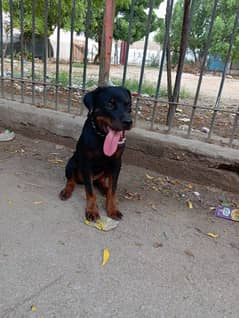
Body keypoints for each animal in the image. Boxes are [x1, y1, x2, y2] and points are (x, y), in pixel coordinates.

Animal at [58, 85, 132, 222]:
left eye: (128, 105)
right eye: (110, 104)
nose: (128, 122)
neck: (102, 137)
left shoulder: (117, 164)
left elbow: (113, 190)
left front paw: (112, 209)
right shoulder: (87, 164)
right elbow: (90, 191)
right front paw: (92, 210)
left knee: (100, 181)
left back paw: (104, 188)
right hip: (71, 163)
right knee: (72, 179)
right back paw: (67, 190)